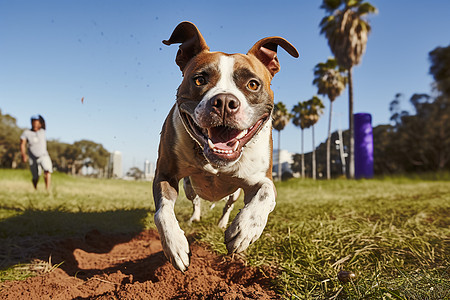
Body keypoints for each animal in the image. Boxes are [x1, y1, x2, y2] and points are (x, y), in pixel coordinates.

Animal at [155, 20, 298, 270]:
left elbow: (265, 194)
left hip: (234, 193)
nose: (223, 102)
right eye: (199, 80)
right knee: (196, 201)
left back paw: (224, 223)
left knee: (227, 205)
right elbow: (163, 211)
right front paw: (175, 245)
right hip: (189, 186)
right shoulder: (165, 173)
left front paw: (244, 230)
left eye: (253, 84)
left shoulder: (262, 179)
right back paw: (194, 218)